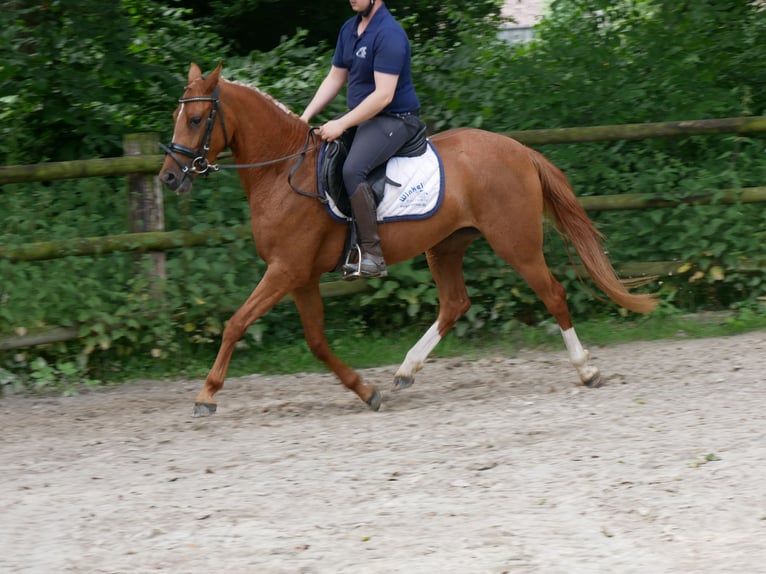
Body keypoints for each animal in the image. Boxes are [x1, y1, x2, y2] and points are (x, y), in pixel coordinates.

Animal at [159, 64, 656, 418]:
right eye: (177, 117)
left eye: (197, 119)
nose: (168, 178)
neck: (282, 172)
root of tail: (519, 149)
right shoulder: (300, 277)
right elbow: (316, 341)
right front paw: (366, 390)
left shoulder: (286, 271)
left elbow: (236, 324)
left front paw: (206, 395)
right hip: (446, 245)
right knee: (454, 303)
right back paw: (405, 370)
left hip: (516, 244)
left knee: (552, 293)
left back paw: (586, 369)